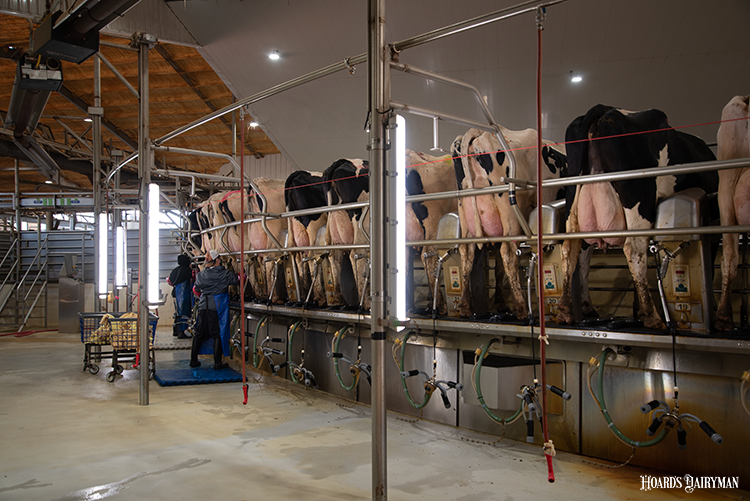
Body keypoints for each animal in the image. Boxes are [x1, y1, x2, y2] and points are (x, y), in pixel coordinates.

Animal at [284, 170, 329, 307]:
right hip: (313, 227)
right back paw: (319, 298)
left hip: (295, 230)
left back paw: (303, 297)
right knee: (311, 257)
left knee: (299, 259)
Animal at [451, 127, 567, 320]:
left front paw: (500, 302)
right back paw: (521, 307)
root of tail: (478, 131)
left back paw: (466, 306)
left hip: (468, 214)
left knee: (467, 253)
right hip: (510, 212)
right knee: (508, 252)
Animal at [557, 104, 718, 330]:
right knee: (634, 250)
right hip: (639, 199)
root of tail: (605, 110)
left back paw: (569, 310)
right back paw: (653, 317)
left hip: (574, 203)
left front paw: (637, 309)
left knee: (572, 250)